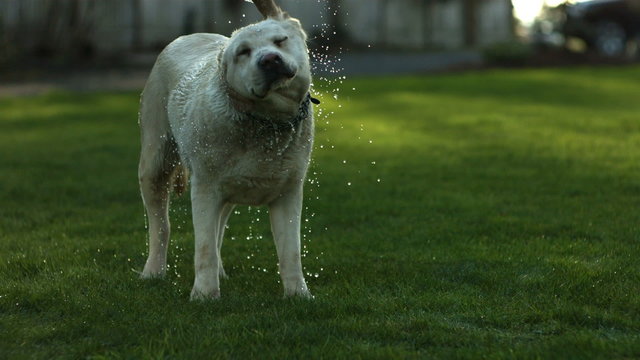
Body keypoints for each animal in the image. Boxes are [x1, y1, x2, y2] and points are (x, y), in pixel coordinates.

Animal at [138, 0, 316, 300]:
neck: (267, 120)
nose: (270, 60)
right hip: (154, 161)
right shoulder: (205, 188)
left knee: (219, 225)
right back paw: (153, 272)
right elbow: (204, 247)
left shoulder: (288, 193)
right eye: (243, 52)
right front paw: (204, 295)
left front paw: (298, 295)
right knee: (161, 225)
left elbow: (291, 251)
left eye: (280, 41)